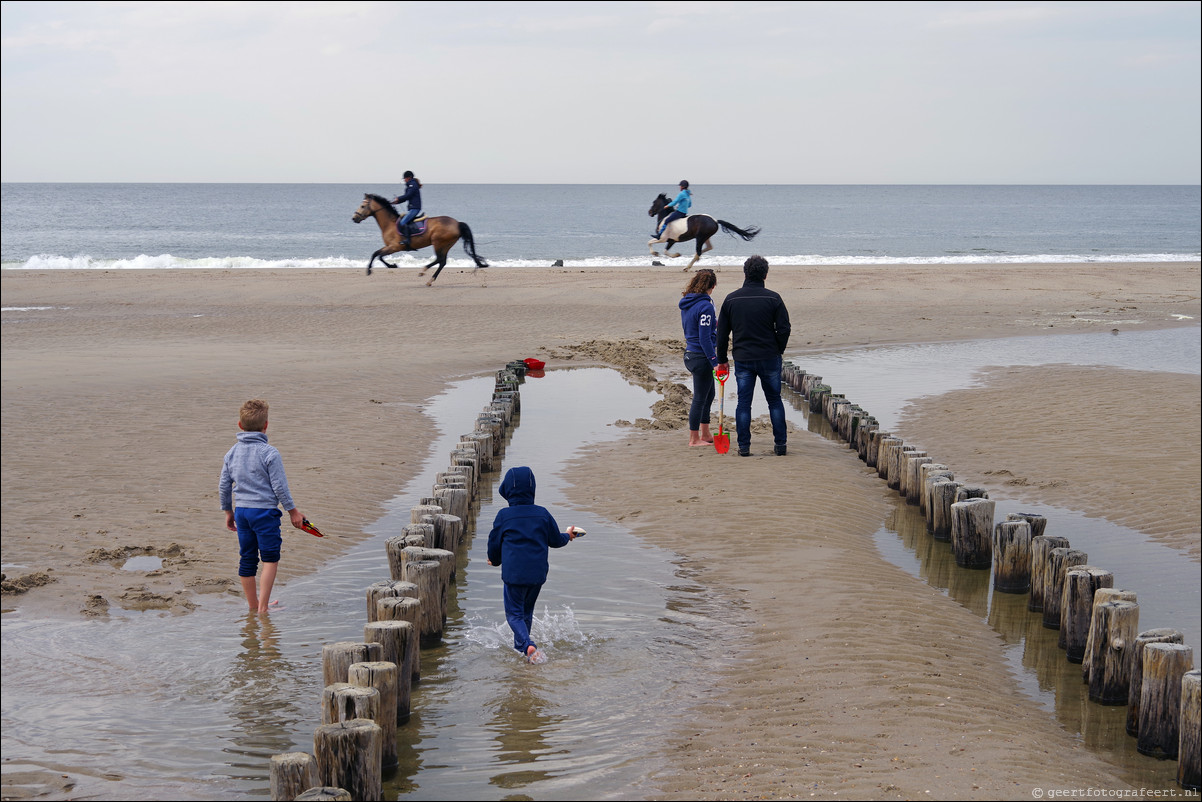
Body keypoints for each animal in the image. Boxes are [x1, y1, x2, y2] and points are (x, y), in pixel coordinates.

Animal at [350, 193, 488, 287]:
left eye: (362, 206)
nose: (354, 218)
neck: (390, 224)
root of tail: (457, 223)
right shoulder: (389, 246)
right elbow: (376, 254)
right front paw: (377, 268)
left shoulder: (394, 247)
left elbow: (378, 255)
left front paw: (389, 266)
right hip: (446, 244)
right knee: (442, 261)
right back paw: (429, 280)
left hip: (438, 243)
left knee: (439, 259)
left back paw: (423, 271)